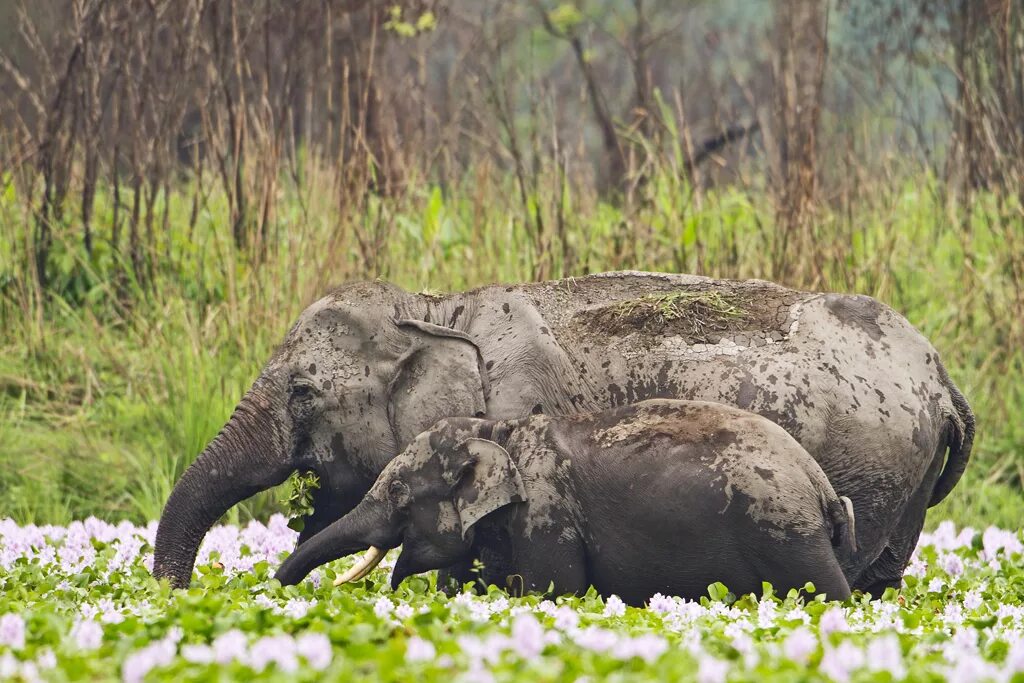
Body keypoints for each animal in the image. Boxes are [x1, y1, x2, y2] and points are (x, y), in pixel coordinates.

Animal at [272, 401, 856, 602]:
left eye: (397, 491)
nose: (273, 587)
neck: (498, 430)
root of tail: (821, 485)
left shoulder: (546, 510)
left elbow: (552, 591)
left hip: (788, 536)